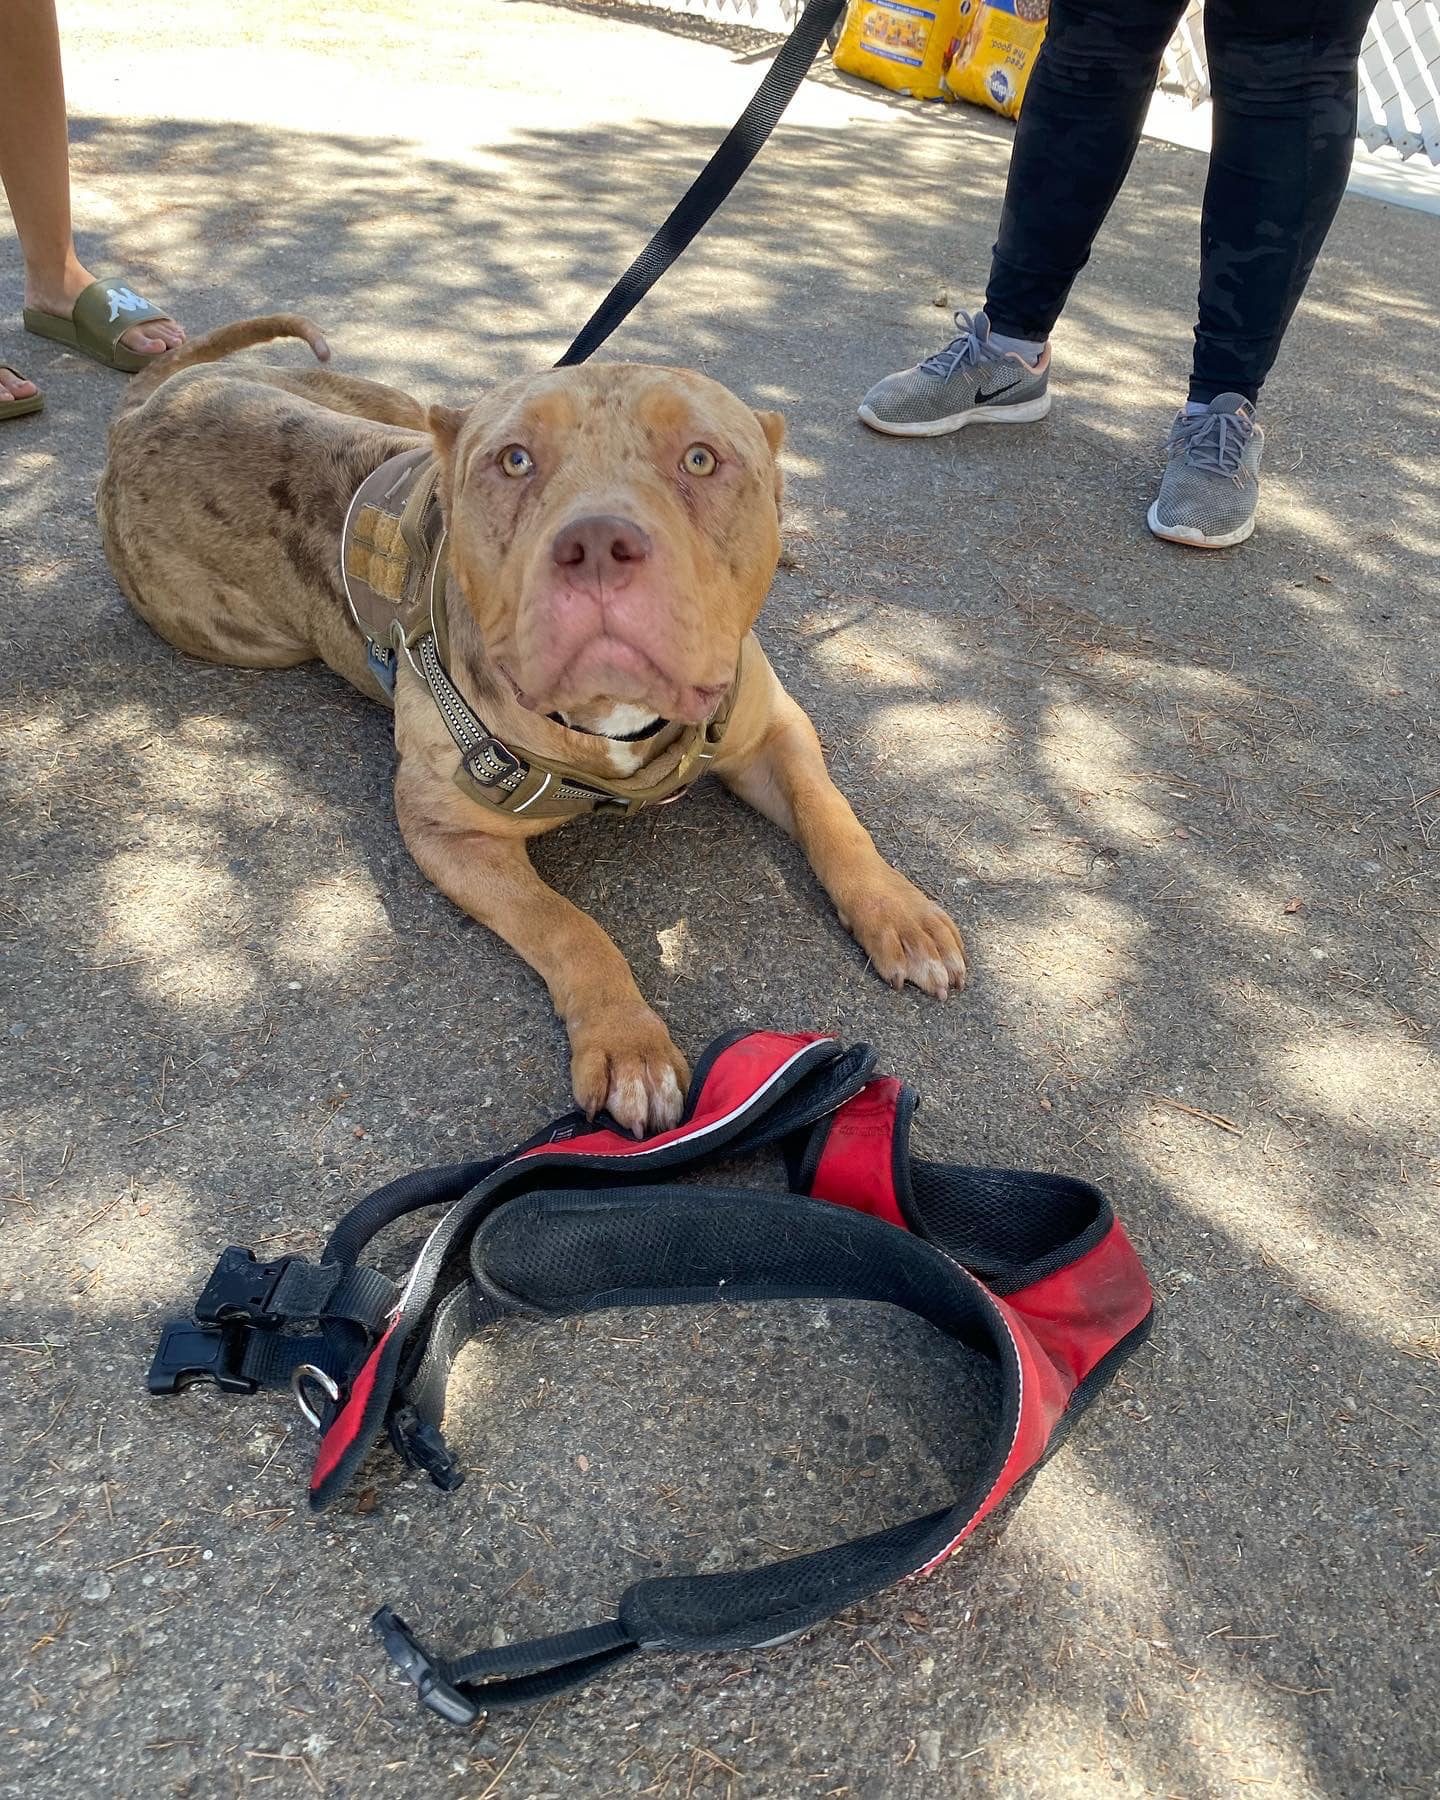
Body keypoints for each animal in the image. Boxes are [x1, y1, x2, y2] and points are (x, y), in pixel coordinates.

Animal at [101, 316, 964, 1130]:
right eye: (514, 461)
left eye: (700, 459)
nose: (598, 543)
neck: (613, 727)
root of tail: (142, 412)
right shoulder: (450, 833)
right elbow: (568, 926)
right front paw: (626, 1041)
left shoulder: (770, 730)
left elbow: (832, 814)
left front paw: (897, 910)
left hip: (391, 407)